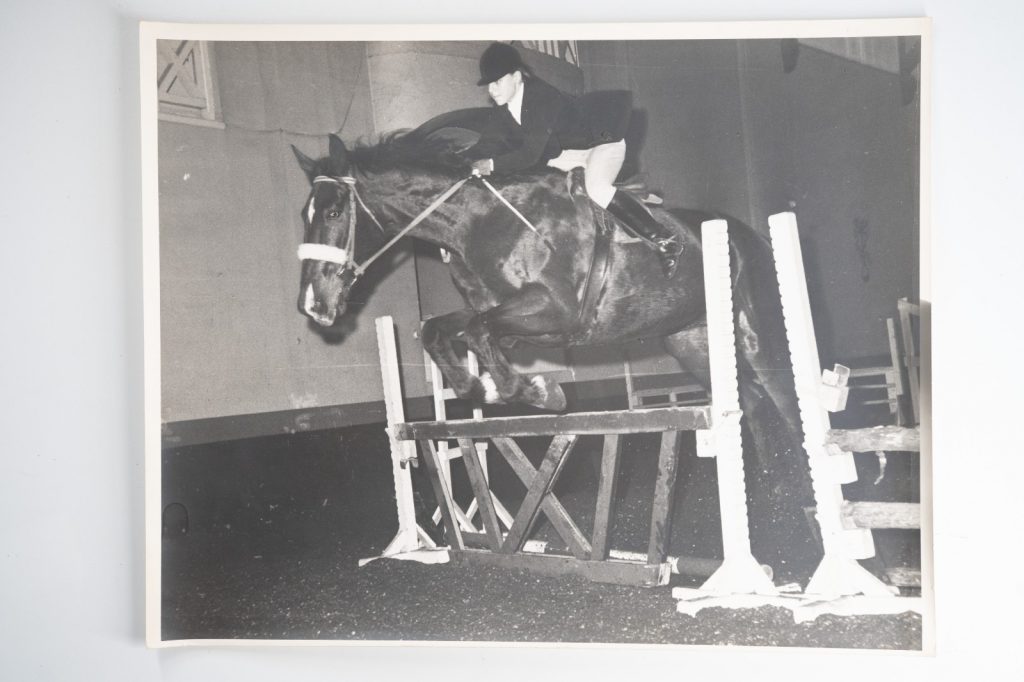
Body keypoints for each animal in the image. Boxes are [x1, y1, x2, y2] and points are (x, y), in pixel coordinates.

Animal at [291, 122, 819, 579]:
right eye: (305, 216)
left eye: (334, 213)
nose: (313, 306)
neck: (475, 223)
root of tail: (750, 232)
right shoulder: (508, 322)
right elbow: (441, 332)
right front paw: (486, 388)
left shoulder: (555, 311)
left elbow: (480, 333)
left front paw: (540, 392)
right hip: (692, 342)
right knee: (750, 401)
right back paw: (772, 490)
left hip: (754, 335)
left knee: (787, 403)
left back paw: (810, 508)